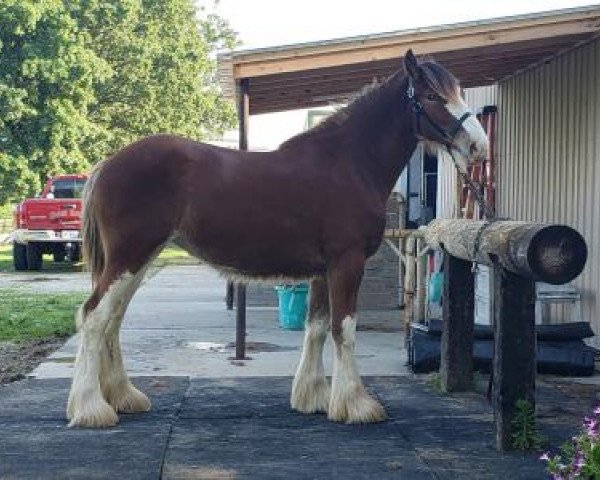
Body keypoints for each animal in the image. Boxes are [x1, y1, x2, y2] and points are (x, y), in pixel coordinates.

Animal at [67, 49, 488, 428]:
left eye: (458, 93)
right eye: (432, 97)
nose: (478, 146)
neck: (348, 163)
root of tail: (107, 165)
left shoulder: (323, 270)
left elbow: (317, 327)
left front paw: (314, 397)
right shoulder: (347, 262)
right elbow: (345, 329)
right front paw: (356, 404)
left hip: (139, 258)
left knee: (112, 320)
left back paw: (123, 397)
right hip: (130, 257)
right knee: (94, 317)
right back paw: (91, 409)